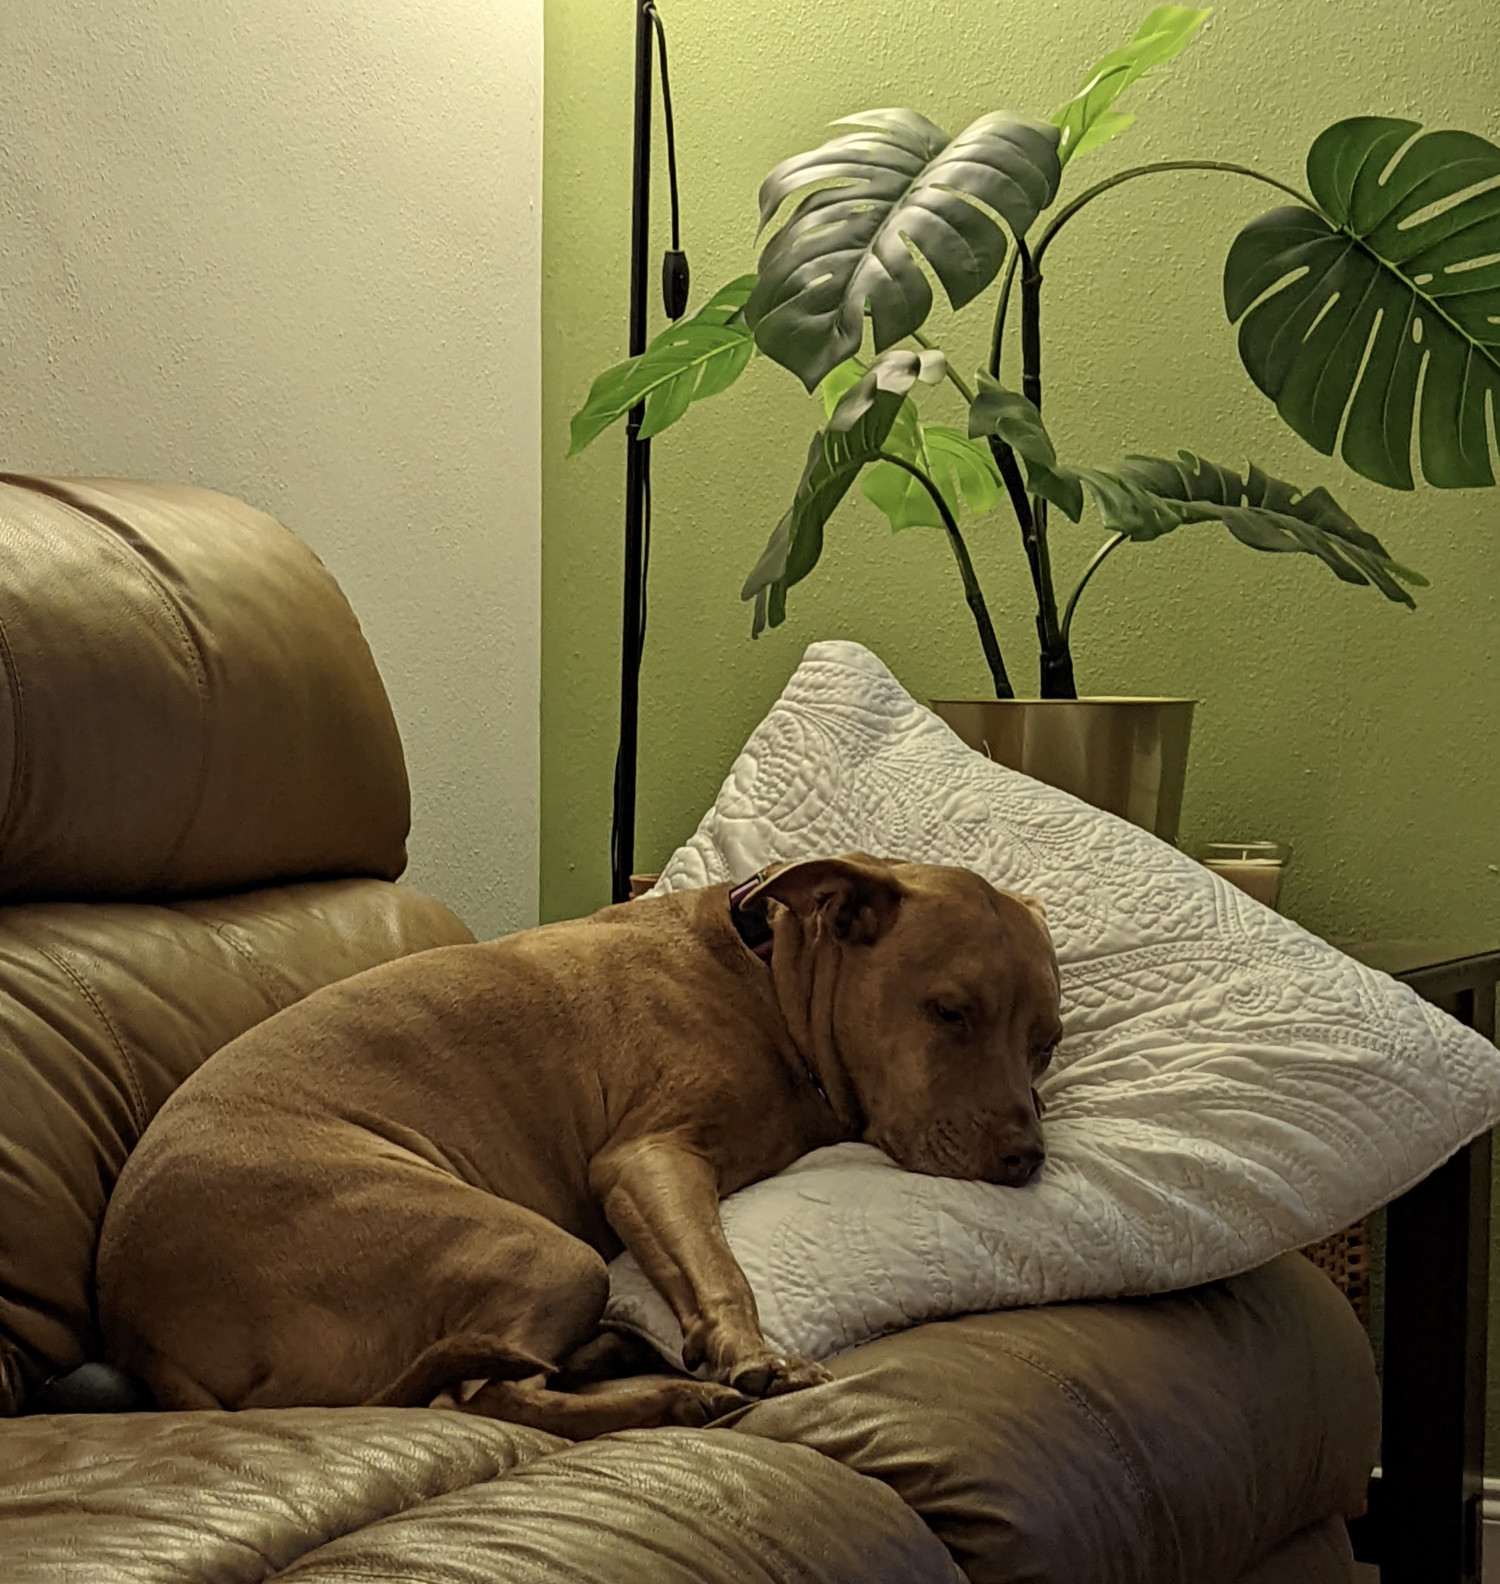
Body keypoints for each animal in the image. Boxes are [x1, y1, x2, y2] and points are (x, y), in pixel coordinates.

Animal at [96, 855, 1058, 1438]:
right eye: (948, 1013)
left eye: (1045, 1042)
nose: (1027, 1157)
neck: (769, 979)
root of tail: (141, 1329)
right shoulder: (646, 1162)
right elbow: (721, 1271)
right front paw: (755, 1359)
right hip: (545, 1250)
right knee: (492, 1395)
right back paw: (680, 1391)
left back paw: (622, 1353)